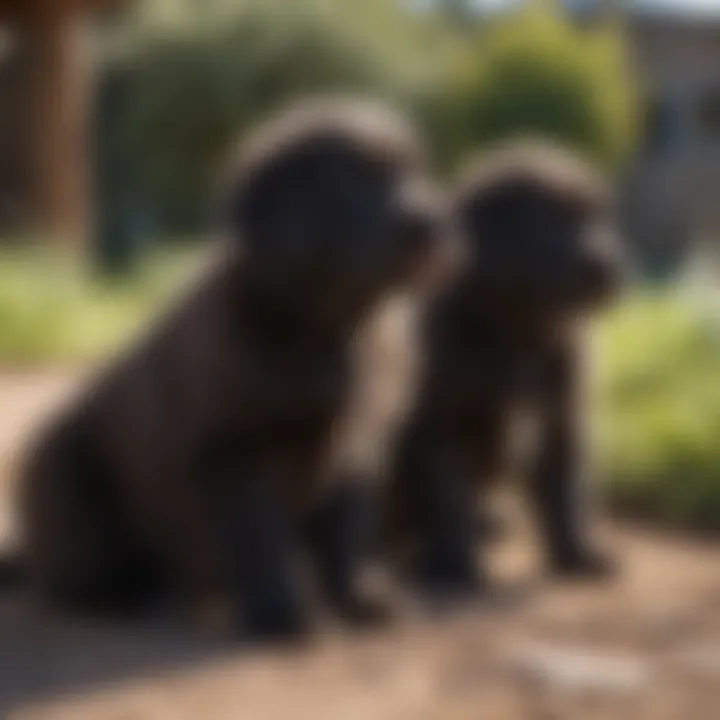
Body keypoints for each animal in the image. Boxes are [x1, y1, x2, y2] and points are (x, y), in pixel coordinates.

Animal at [4, 97, 444, 640]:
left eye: (412, 172)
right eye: (354, 182)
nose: (434, 224)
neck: (330, 330)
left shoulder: (358, 447)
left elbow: (350, 531)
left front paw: (365, 597)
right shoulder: (232, 453)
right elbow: (260, 540)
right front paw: (284, 613)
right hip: (61, 476)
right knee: (77, 577)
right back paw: (134, 598)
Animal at [388, 138, 624, 600]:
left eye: (594, 217)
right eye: (552, 221)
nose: (608, 266)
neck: (517, 335)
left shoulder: (560, 415)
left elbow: (565, 491)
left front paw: (579, 554)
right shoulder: (437, 426)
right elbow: (449, 498)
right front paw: (453, 565)